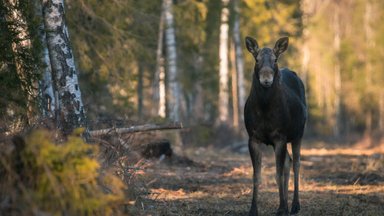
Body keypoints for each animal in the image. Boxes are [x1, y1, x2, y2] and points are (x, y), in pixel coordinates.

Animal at [244, 36, 308, 216]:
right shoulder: (253, 138)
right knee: (288, 161)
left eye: (275, 59)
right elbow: (256, 175)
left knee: (296, 163)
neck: (265, 110)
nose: (266, 80)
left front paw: (281, 208)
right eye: (256, 59)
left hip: (298, 133)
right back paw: (286, 204)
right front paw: (253, 209)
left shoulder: (280, 136)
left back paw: (294, 205)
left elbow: (277, 174)